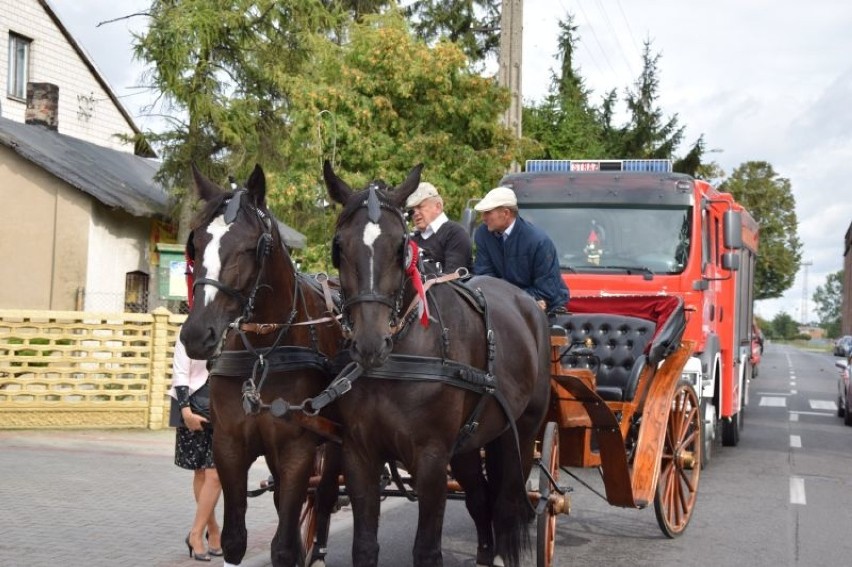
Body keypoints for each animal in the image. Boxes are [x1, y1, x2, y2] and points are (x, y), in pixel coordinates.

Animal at [181, 165, 344, 567]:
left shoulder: (297, 449)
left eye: (248, 246)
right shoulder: (229, 446)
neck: (262, 354)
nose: (196, 334)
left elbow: (283, 547)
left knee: (325, 495)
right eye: (198, 244)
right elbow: (235, 539)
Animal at [322, 161, 552, 567]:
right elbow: (364, 546)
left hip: (521, 433)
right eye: (338, 247)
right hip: (470, 442)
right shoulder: (359, 454)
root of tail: (527, 304)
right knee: (481, 498)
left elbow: (427, 550)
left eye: (402, 248)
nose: (369, 343)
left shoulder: (430, 458)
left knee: (509, 501)